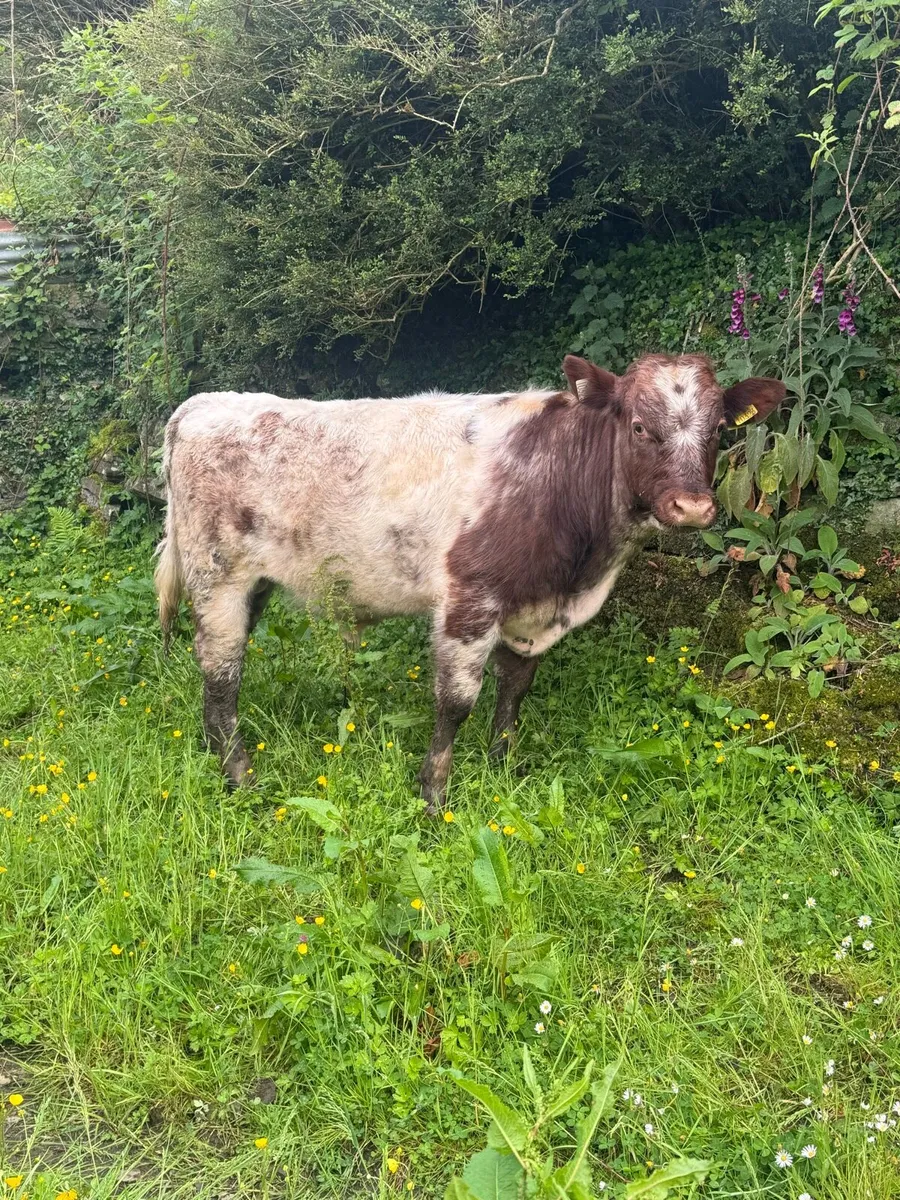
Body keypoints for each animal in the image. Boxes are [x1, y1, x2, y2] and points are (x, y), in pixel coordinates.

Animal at [155, 353, 786, 812]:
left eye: (719, 430)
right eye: (637, 425)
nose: (692, 507)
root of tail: (205, 403)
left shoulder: (535, 608)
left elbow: (515, 689)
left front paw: (502, 765)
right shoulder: (470, 597)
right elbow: (456, 701)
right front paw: (434, 795)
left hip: (251, 582)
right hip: (218, 576)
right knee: (221, 673)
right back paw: (239, 777)